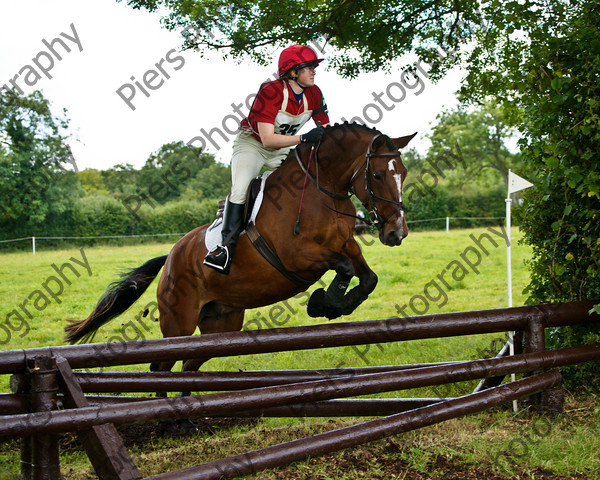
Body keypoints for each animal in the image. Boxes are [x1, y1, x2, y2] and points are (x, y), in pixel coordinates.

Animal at [64, 122, 412, 384]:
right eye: (377, 175)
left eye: (404, 173)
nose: (397, 233)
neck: (322, 190)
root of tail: (171, 257)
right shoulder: (296, 256)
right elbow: (345, 268)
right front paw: (322, 303)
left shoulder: (346, 244)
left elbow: (367, 277)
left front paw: (336, 305)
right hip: (179, 322)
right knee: (161, 367)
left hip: (222, 323)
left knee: (189, 366)